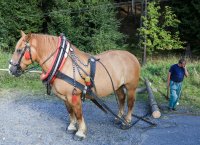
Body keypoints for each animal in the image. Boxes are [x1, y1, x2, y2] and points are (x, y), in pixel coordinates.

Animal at [9, 31, 141, 140]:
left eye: (19, 50)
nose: (11, 69)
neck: (63, 63)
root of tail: (132, 56)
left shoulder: (74, 96)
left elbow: (78, 114)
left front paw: (80, 132)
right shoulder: (65, 97)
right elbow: (70, 112)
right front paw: (72, 127)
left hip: (131, 87)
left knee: (130, 103)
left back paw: (126, 122)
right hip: (118, 87)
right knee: (121, 99)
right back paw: (118, 118)